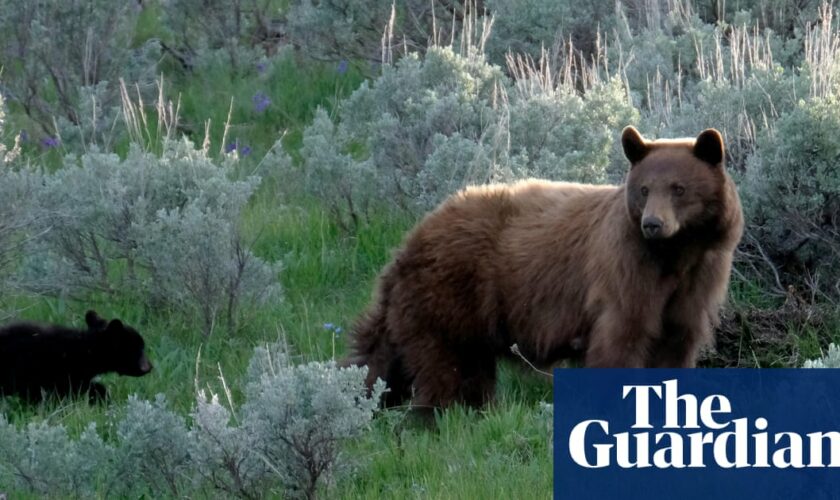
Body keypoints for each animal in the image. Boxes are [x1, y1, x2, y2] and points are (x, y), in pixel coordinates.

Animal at [344, 125, 744, 410]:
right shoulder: (626, 270)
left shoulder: (699, 278)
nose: (652, 224)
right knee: (443, 369)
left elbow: (676, 342)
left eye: (678, 188)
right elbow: (621, 338)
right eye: (644, 189)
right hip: (450, 295)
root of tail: (410, 242)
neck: (675, 255)